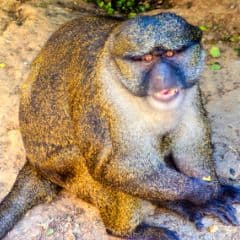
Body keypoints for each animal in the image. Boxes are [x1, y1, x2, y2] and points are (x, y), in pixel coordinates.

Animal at [0, 12, 240, 239]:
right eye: (147, 58)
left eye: (171, 54)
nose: (163, 77)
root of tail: (33, 162)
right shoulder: (101, 94)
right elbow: (112, 167)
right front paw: (204, 193)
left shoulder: (190, 89)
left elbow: (191, 144)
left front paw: (210, 194)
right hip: (65, 168)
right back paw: (129, 231)